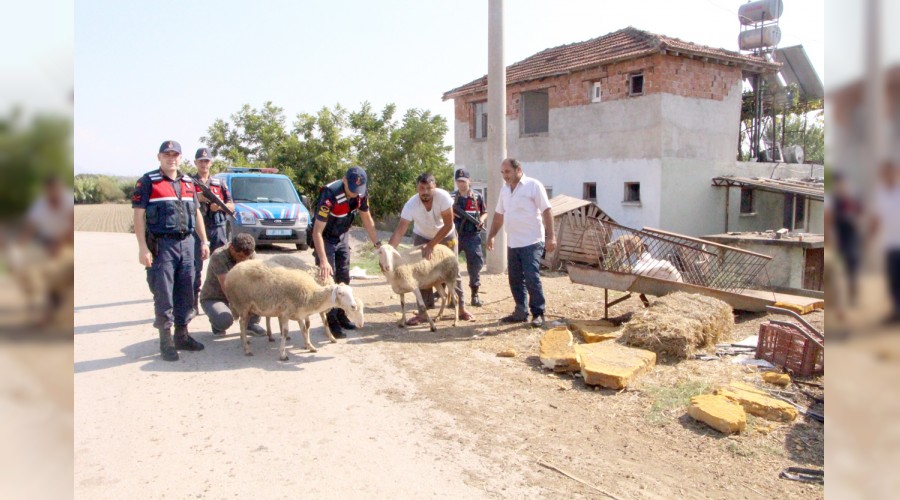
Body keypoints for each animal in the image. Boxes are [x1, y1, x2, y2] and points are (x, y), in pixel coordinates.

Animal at [223, 260, 364, 362]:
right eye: (340, 293)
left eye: (351, 291)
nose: (353, 306)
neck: (311, 294)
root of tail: (231, 271)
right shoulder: (285, 313)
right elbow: (285, 333)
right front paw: (283, 354)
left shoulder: (299, 314)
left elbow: (304, 329)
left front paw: (310, 346)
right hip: (242, 304)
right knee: (242, 325)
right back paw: (247, 349)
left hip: (248, 307)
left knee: (245, 324)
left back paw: (246, 341)